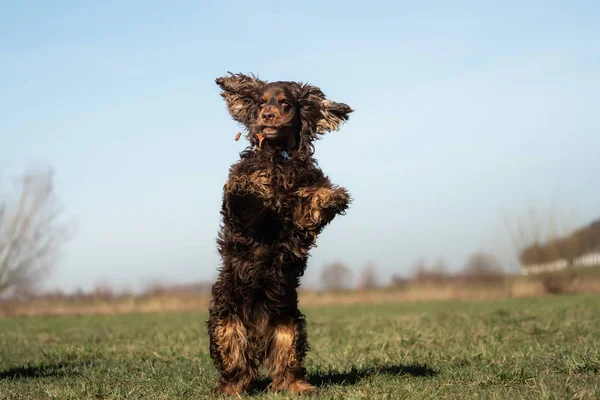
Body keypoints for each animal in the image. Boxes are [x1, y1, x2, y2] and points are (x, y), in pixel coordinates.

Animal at [209, 72, 354, 396]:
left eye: (285, 102)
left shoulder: (299, 217)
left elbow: (310, 199)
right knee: (237, 365)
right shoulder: (246, 221)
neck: (279, 156)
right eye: (261, 102)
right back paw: (231, 388)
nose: (266, 115)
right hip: (227, 322)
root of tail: (258, 331)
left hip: (290, 325)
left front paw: (332, 195)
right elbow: (246, 194)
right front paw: (251, 183)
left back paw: (299, 386)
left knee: (285, 365)